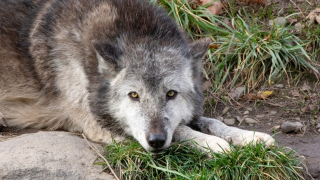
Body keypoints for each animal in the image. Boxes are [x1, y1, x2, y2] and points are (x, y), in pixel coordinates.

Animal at [0, 0, 276, 153]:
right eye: (133, 95)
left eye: (171, 94)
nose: (155, 141)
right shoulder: (98, 126)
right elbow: (181, 130)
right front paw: (214, 144)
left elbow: (209, 121)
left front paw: (248, 137)